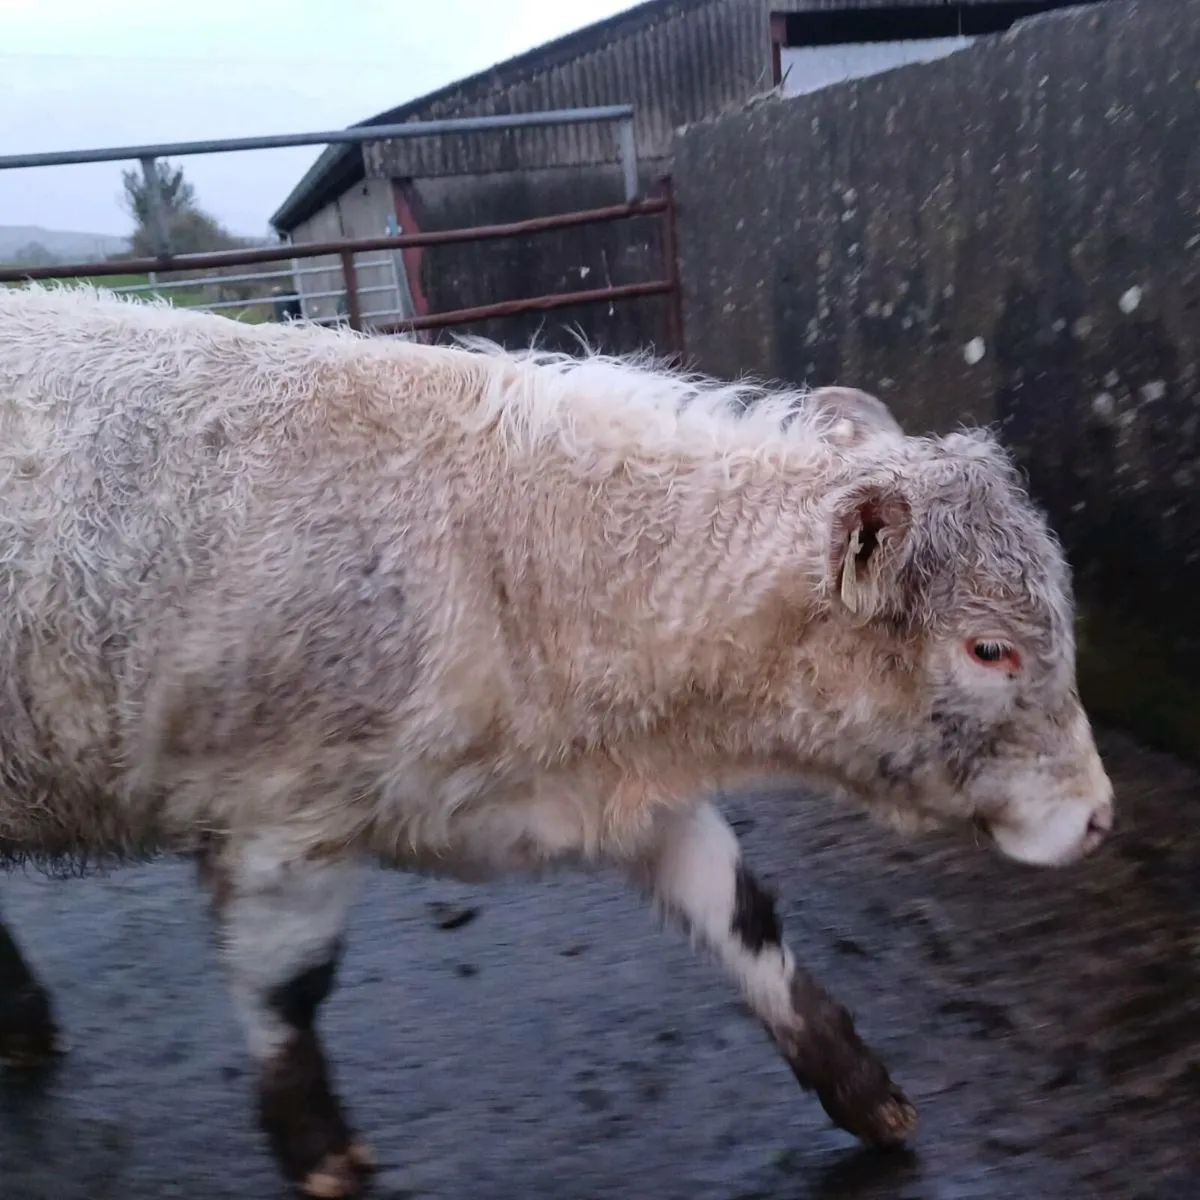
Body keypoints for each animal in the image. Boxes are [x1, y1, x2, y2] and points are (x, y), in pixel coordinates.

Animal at [0, 284, 1113, 1197]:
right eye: (991, 649)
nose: (1099, 816)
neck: (517, 552)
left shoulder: (634, 796)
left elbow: (746, 921)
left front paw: (863, 1088)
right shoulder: (282, 816)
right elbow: (289, 991)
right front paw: (319, 1153)